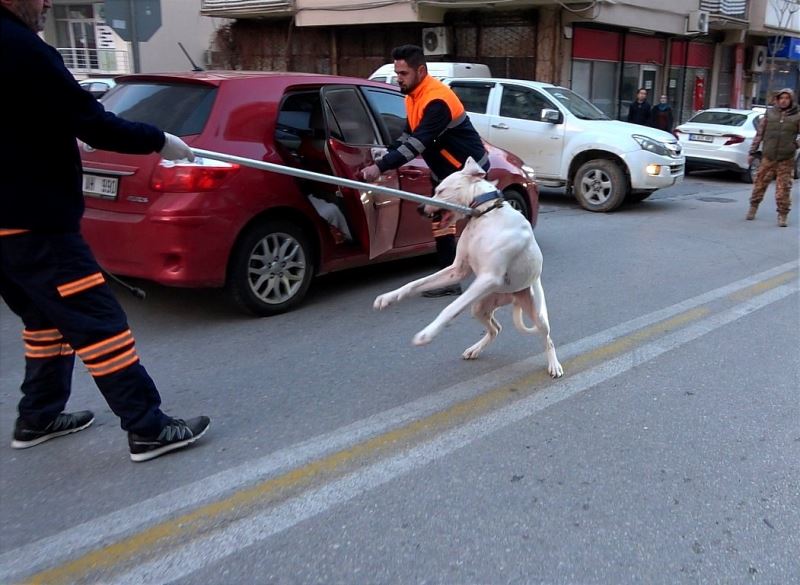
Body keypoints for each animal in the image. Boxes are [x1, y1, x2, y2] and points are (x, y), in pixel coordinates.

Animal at [374, 157, 564, 376]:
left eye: (440, 190)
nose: (419, 208)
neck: (486, 214)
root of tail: (513, 296)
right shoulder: (457, 271)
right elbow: (414, 284)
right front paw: (388, 298)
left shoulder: (488, 277)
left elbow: (450, 308)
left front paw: (427, 333)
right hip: (479, 306)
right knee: (496, 328)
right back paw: (475, 349)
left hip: (537, 313)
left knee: (547, 339)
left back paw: (554, 365)